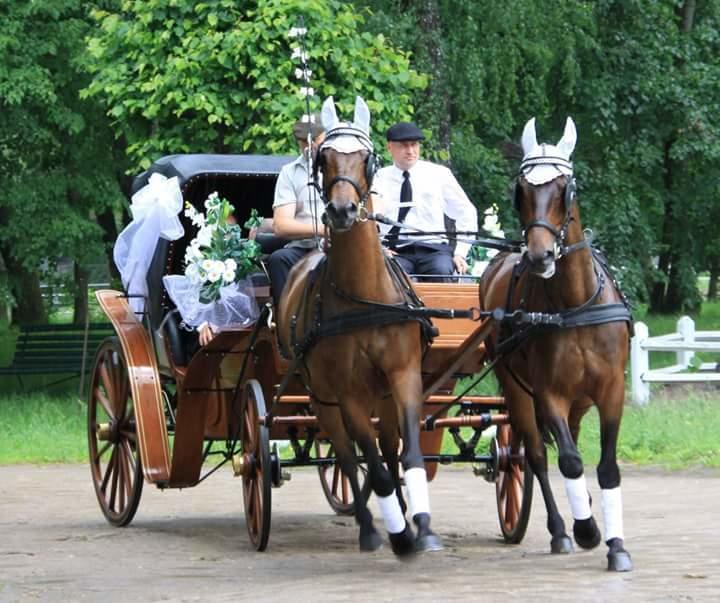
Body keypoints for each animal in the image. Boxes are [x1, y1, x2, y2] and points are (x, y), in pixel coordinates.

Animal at [278, 98, 442, 556]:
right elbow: (366, 461)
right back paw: (371, 527)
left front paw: (423, 527)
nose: (341, 210)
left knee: (384, 447)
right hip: (322, 398)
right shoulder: (347, 394)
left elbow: (408, 456)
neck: (365, 297)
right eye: (325, 158)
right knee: (349, 456)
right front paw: (398, 535)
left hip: (380, 395)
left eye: (366, 158)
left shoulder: (403, 376)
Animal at [480, 117, 632, 572]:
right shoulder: (548, 394)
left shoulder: (611, 391)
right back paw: (562, 529)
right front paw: (587, 530)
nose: (539, 256)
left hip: (579, 400)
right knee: (534, 455)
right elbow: (567, 459)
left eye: (566, 188)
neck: (575, 305)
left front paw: (617, 545)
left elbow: (606, 467)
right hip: (518, 391)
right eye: (522, 191)